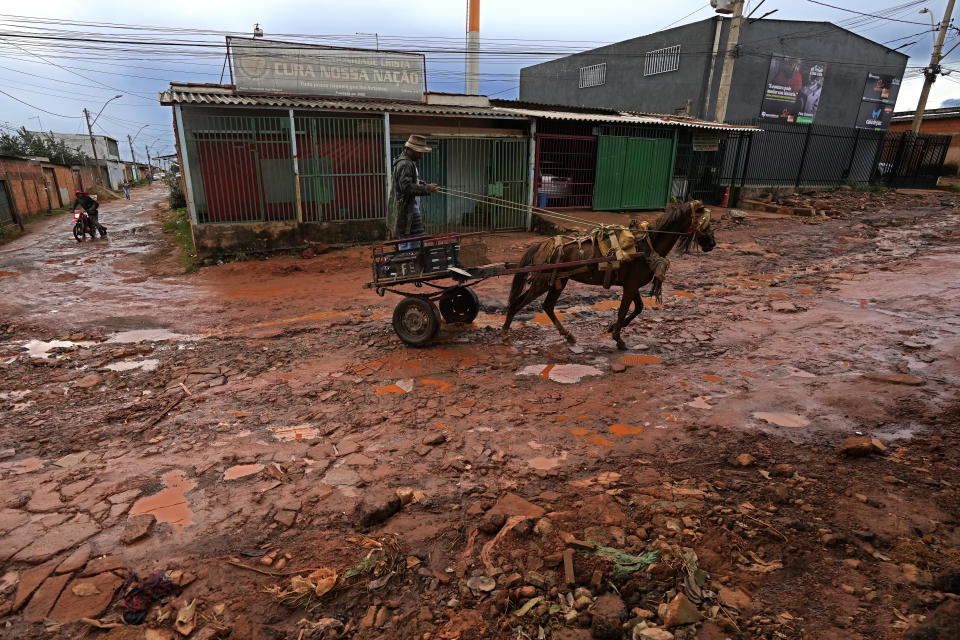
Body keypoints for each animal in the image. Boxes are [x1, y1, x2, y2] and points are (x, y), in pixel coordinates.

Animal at [502, 200, 712, 350]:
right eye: (706, 224)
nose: (712, 244)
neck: (647, 245)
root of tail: (542, 245)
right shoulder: (630, 286)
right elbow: (623, 310)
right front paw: (618, 338)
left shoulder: (631, 285)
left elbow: (639, 308)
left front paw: (613, 328)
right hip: (543, 282)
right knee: (517, 304)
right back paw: (504, 334)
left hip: (559, 280)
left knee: (547, 306)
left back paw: (568, 335)